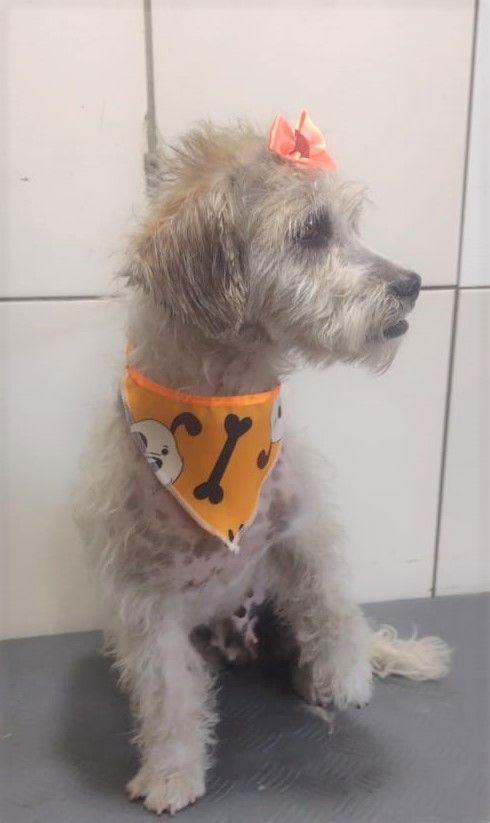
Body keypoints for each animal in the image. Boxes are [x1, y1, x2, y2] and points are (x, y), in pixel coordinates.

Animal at [76, 112, 450, 815]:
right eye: (311, 231)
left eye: (349, 223)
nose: (412, 284)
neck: (221, 403)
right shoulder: (146, 608)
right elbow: (168, 700)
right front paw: (171, 774)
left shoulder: (306, 527)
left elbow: (334, 605)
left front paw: (348, 675)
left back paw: (348, 672)